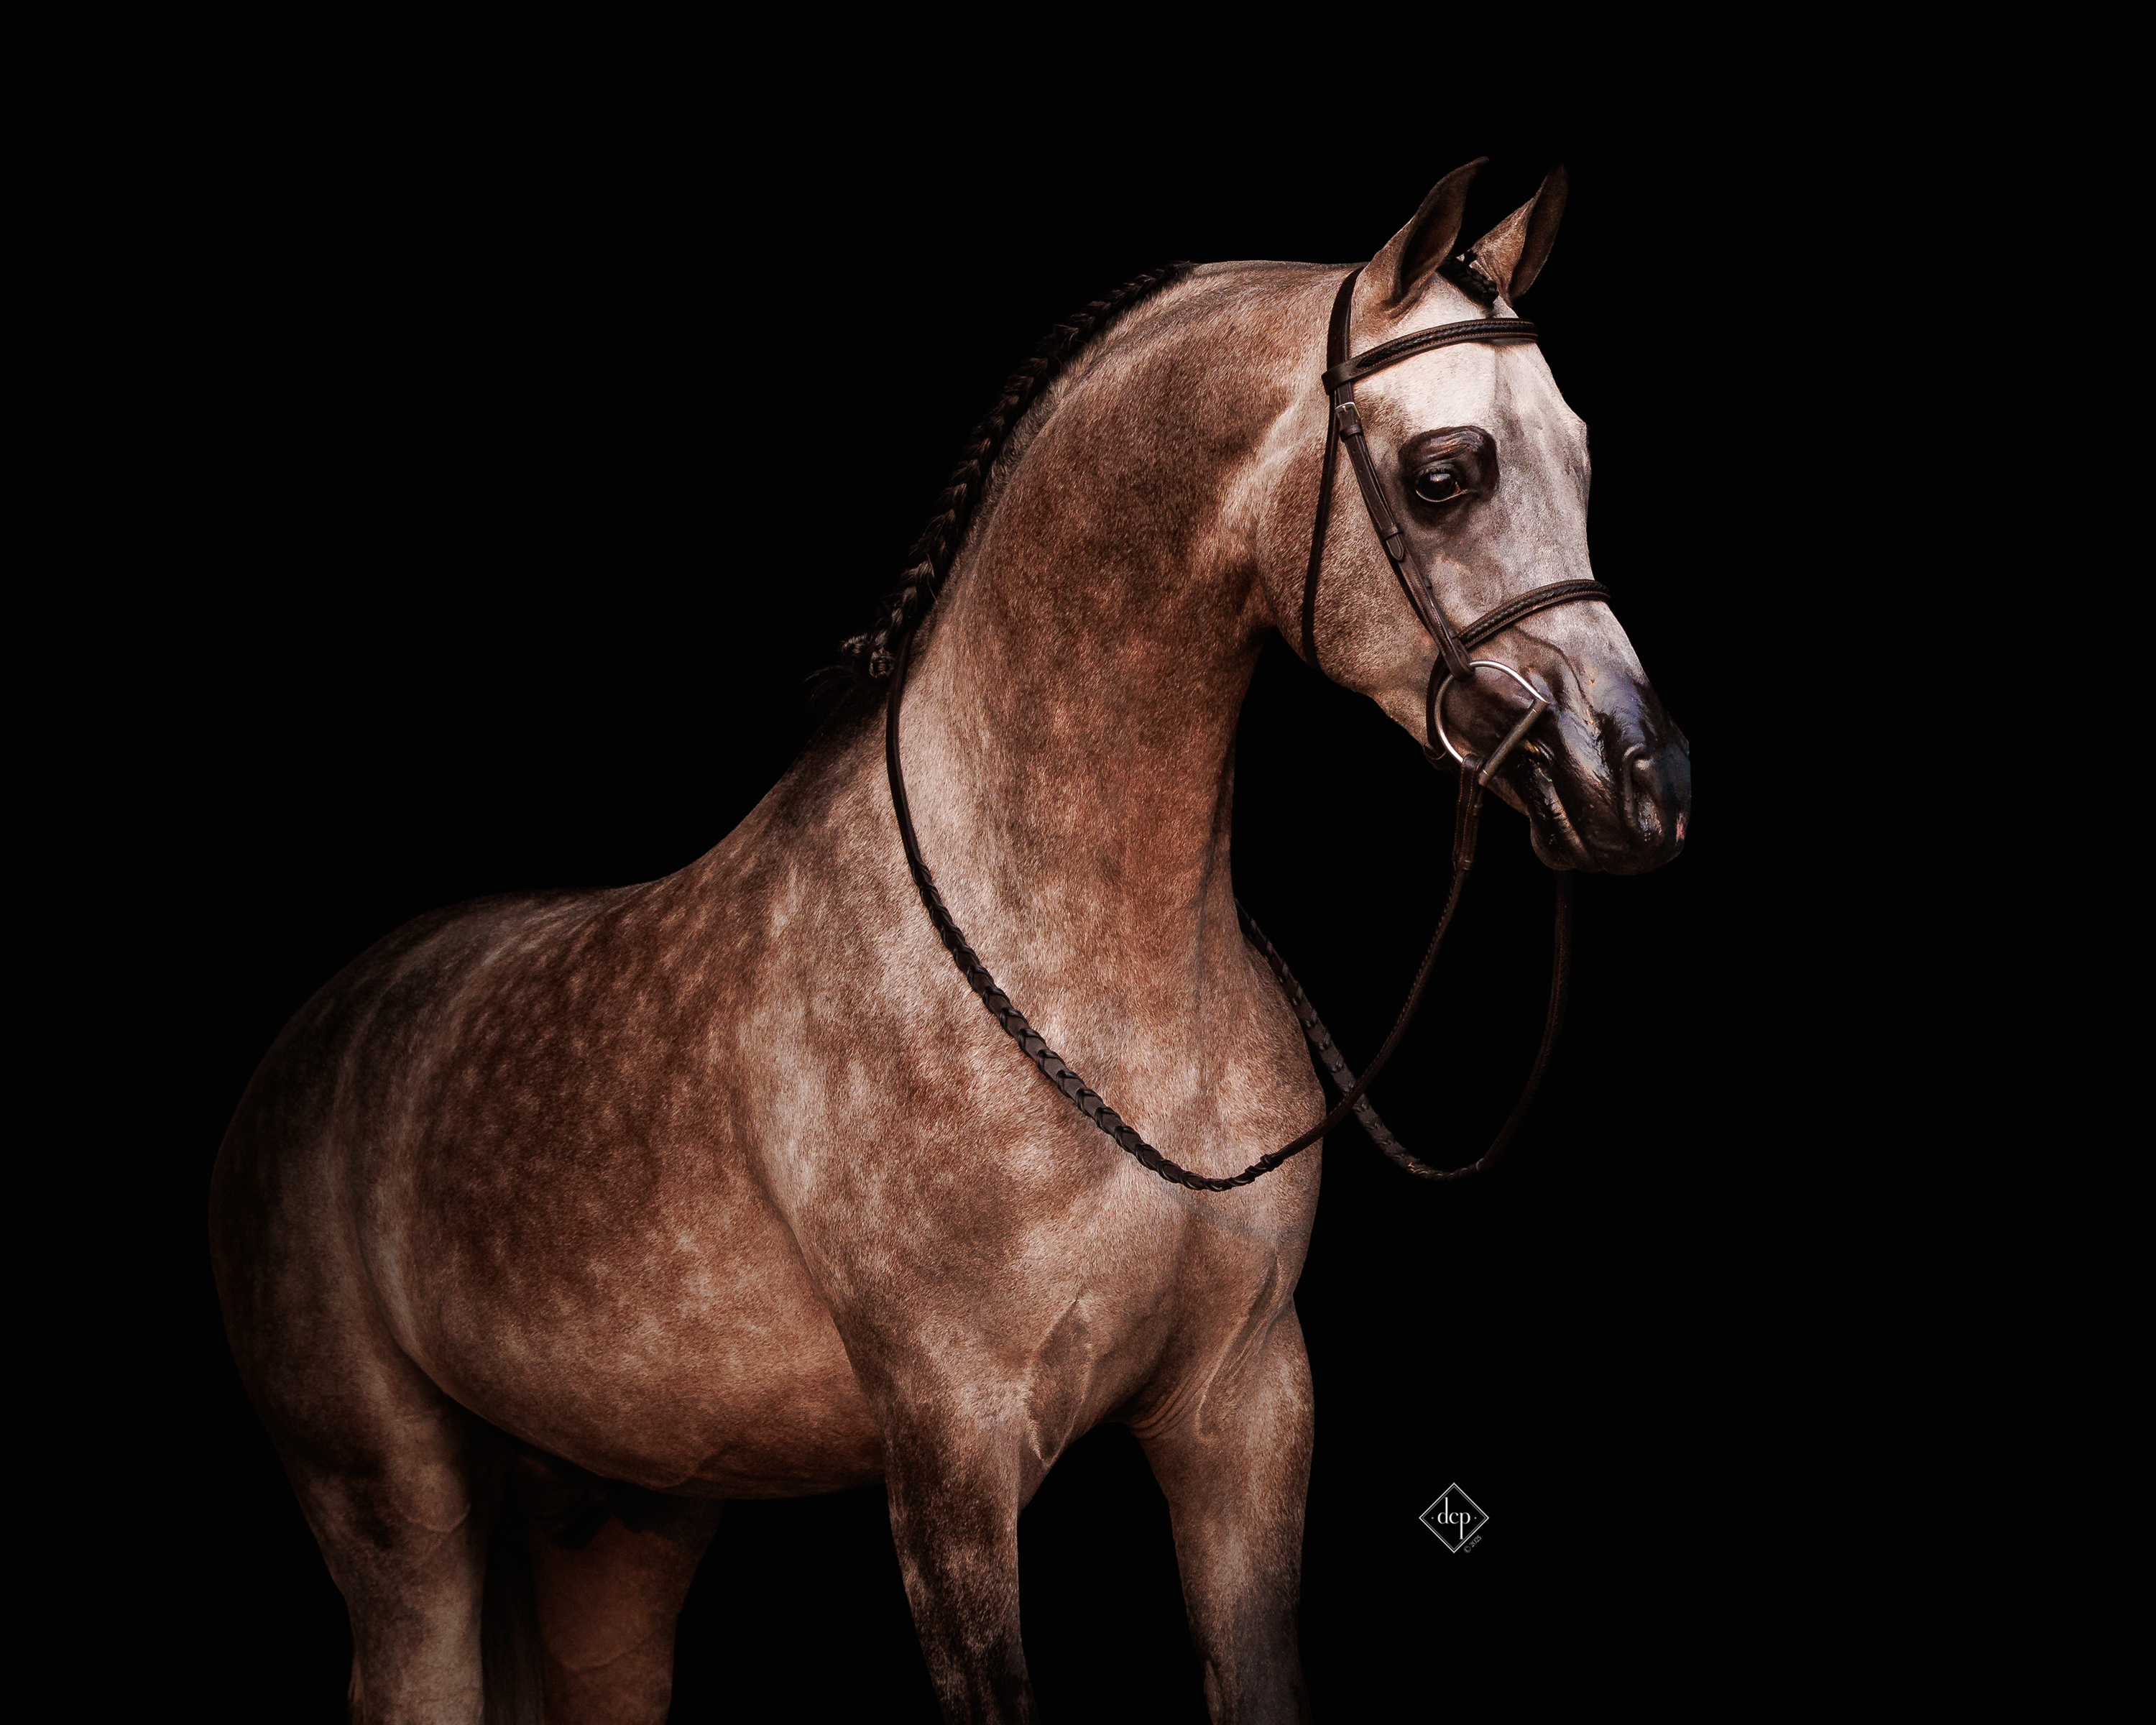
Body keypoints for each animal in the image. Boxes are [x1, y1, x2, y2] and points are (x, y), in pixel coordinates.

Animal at [210, 158, 1690, 1724]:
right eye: (1445, 475)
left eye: (1583, 458)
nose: (1638, 784)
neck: (1089, 973)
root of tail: (312, 1044)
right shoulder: (954, 1461)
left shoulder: (1245, 1413)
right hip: (396, 1516)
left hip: (616, 1526)